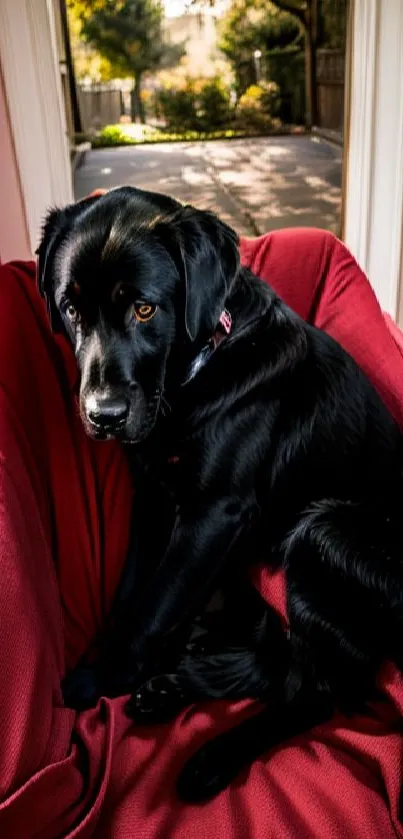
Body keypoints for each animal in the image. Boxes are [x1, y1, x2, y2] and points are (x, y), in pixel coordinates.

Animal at [37, 187, 403, 804]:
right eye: (72, 309)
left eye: (144, 310)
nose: (103, 416)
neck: (194, 376)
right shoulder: (152, 499)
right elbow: (133, 589)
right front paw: (115, 661)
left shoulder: (214, 515)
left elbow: (156, 602)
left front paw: (103, 676)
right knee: (275, 660)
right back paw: (180, 683)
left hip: (323, 532)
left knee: (314, 692)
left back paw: (212, 756)